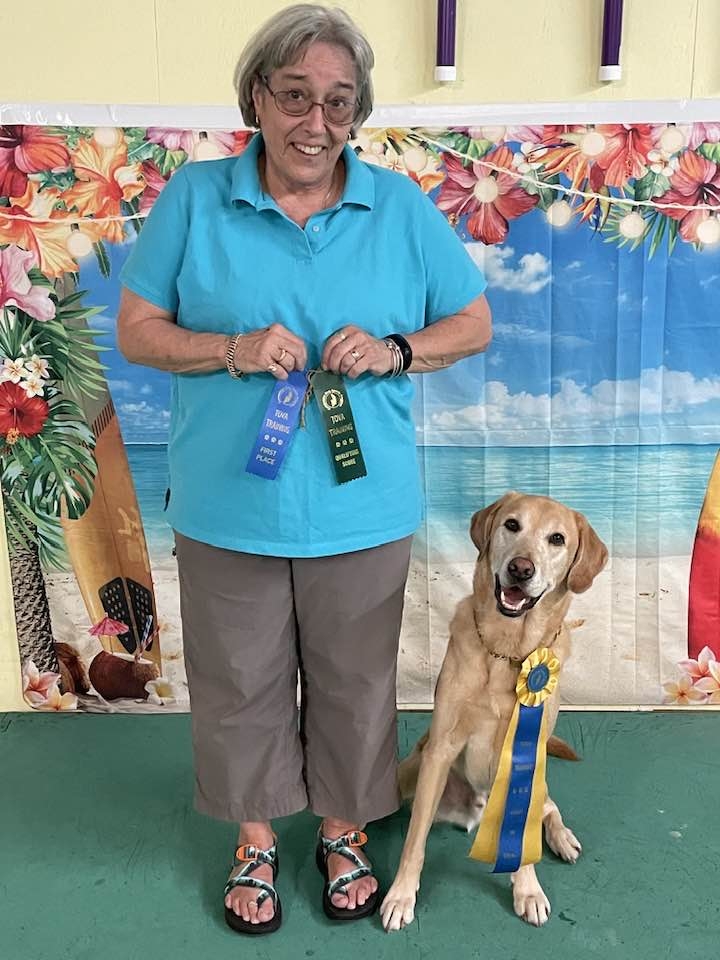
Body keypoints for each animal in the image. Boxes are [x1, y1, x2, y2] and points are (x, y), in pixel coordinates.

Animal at [381, 492, 608, 930]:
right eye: (512, 525)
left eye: (557, 538)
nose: (521, 569)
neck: (507, 651)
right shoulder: (440, 749)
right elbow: (415, 840)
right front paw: (401, 895)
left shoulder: (529, 754)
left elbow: (524, 839)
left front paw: (528, 890)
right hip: (409, 773)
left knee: (548, 808)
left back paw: (562, 837)